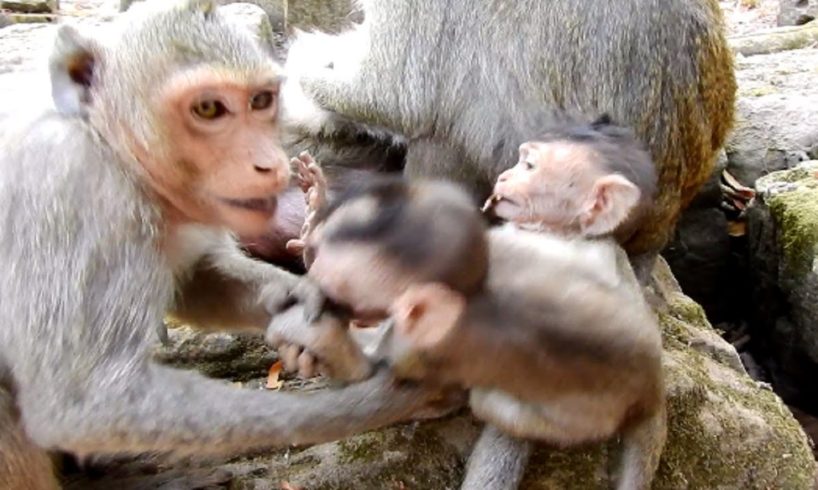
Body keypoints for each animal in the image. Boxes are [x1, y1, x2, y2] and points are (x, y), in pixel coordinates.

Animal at [0, 1, 444, 488]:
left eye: (261, 100)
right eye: (209, 108)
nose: (270, 163)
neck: (108, 144)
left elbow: (199, 280)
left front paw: (305, 303)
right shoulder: (70, 191)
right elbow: (86, 407)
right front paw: (385, 401)